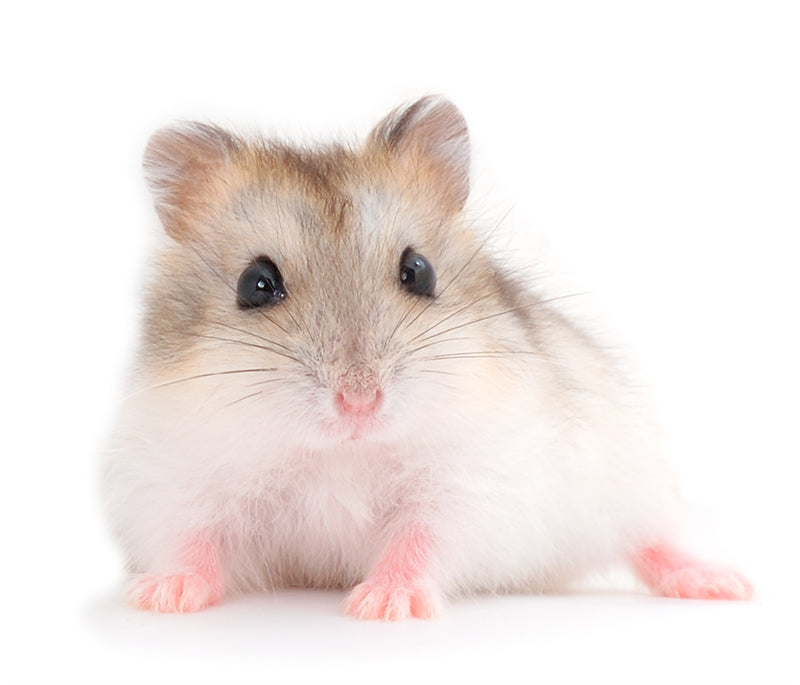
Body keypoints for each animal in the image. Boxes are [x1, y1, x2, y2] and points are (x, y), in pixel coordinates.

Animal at [102, 96, 753, 619]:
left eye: (419, 271)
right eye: (255, 284)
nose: (359, 402)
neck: (340, 455)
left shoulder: (471, 484)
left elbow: (419, 542)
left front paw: (382, 606)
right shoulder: (177, 482)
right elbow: (192, 543)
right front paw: (160, 598)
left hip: (627, 481)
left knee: (651, 540)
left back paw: (722, 584)